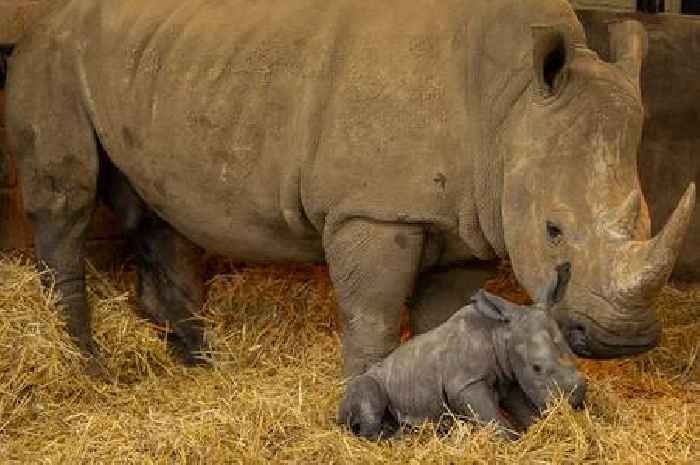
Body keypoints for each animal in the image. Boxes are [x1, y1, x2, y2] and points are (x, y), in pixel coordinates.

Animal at [340, 264, 584, 438]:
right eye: (536, 368)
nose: (578, 397)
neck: (499, 334)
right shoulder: (465, 383)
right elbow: (493, 417)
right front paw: (513, 441)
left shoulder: (509, 375)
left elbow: (521, 408)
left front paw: (535, 428)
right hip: (366, 383)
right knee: (368, 396)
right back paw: (397, 438)